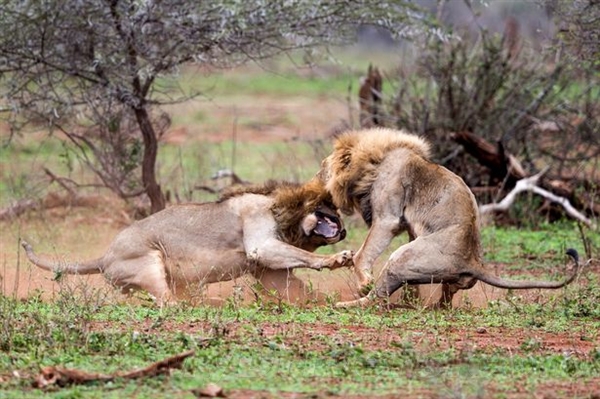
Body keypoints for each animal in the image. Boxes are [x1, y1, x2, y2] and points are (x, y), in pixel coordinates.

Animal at [22, 180, 352, 308]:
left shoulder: (268, 271)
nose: (345, 228)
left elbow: (295, 288)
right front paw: (336, 259)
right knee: (168, 302)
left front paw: (326, 301)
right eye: (330, 207)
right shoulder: (261, 243)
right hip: (150, 260)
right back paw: (213, 302)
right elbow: (301, 256)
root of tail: (103, 257)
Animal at [318, 128, 580, 310]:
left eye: (324, 167)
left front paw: (364, 281)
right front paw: (411, 296)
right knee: (445, 298)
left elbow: (364, 253)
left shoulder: (388, 217)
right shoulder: (410, 227)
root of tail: (473, 262)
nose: (318, 175)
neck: (376, 161)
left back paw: (348, 304)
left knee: (377, 296)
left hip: (402, 257)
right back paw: (423, 305)